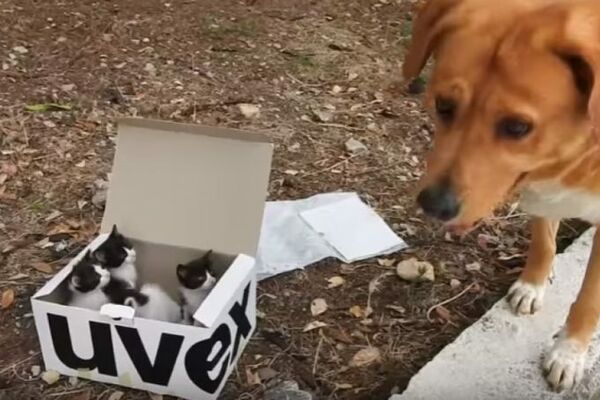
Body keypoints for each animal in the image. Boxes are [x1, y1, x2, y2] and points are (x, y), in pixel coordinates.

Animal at [404, 0, 600, 392]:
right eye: (444, 105)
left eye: (518, 127)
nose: (434, 206)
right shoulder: (541, 192)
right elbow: (543, 242)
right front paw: (533, 284)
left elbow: (590, 298)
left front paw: (569, 352)